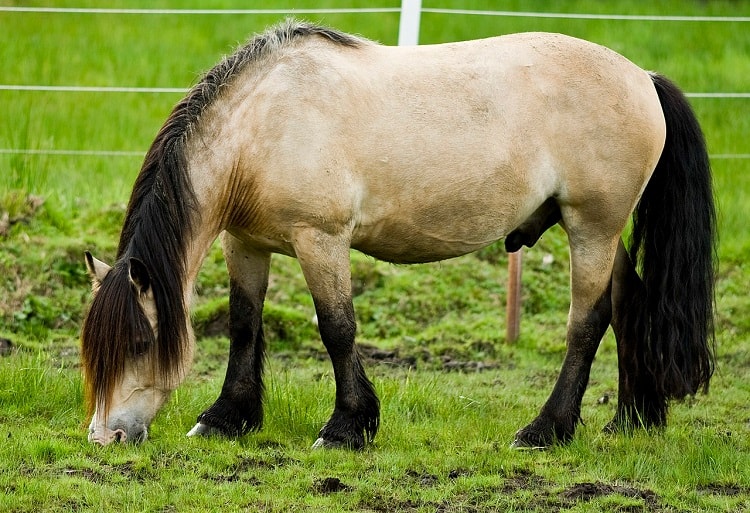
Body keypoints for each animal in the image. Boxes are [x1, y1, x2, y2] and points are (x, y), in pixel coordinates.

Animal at [81, 19, 716, 448]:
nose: (105, 437)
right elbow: (244, 326)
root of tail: (643, 78)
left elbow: (337, 329)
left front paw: (347, 427)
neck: (263, 122)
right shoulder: (247, 243)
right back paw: (631, 420)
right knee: (628, 303)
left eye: (138, 343)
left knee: (587, 322)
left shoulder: (320, 240)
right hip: (599, 233)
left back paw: (546, 430)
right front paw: (226, 418)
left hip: (591, 228)